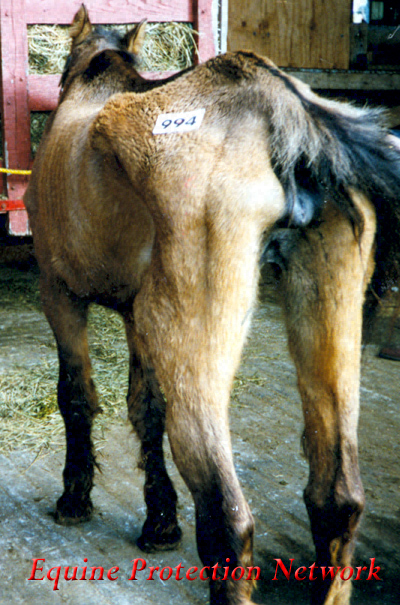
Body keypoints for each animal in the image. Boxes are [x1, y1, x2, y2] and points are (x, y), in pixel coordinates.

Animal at [22, 5, 400, 604]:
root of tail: (277, 108)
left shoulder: (60, 294)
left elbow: (77, 396)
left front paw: (75, 499)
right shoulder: (134, 316)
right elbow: (146, 409)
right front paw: (159, 521)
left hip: (189, 341)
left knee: (227, 517)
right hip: (328, 317)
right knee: (338, 499)